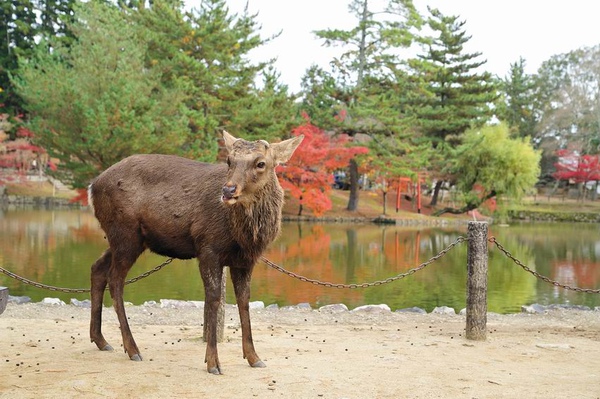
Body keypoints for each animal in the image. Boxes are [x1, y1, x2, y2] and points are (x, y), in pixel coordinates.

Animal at [88, 131, 304, 376]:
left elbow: (244, 301)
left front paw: (254, 357)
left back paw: (101, 340)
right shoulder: (208, 247)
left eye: (261, 163)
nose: (228, 190)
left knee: (98, 268)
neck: (245, 236)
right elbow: (213, 299)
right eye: (229, 160)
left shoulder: (246, 259)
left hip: (128, 239)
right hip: (124, 233)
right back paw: (132, 349)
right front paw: (213, 363)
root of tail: (92, 186)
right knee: (115, 280)